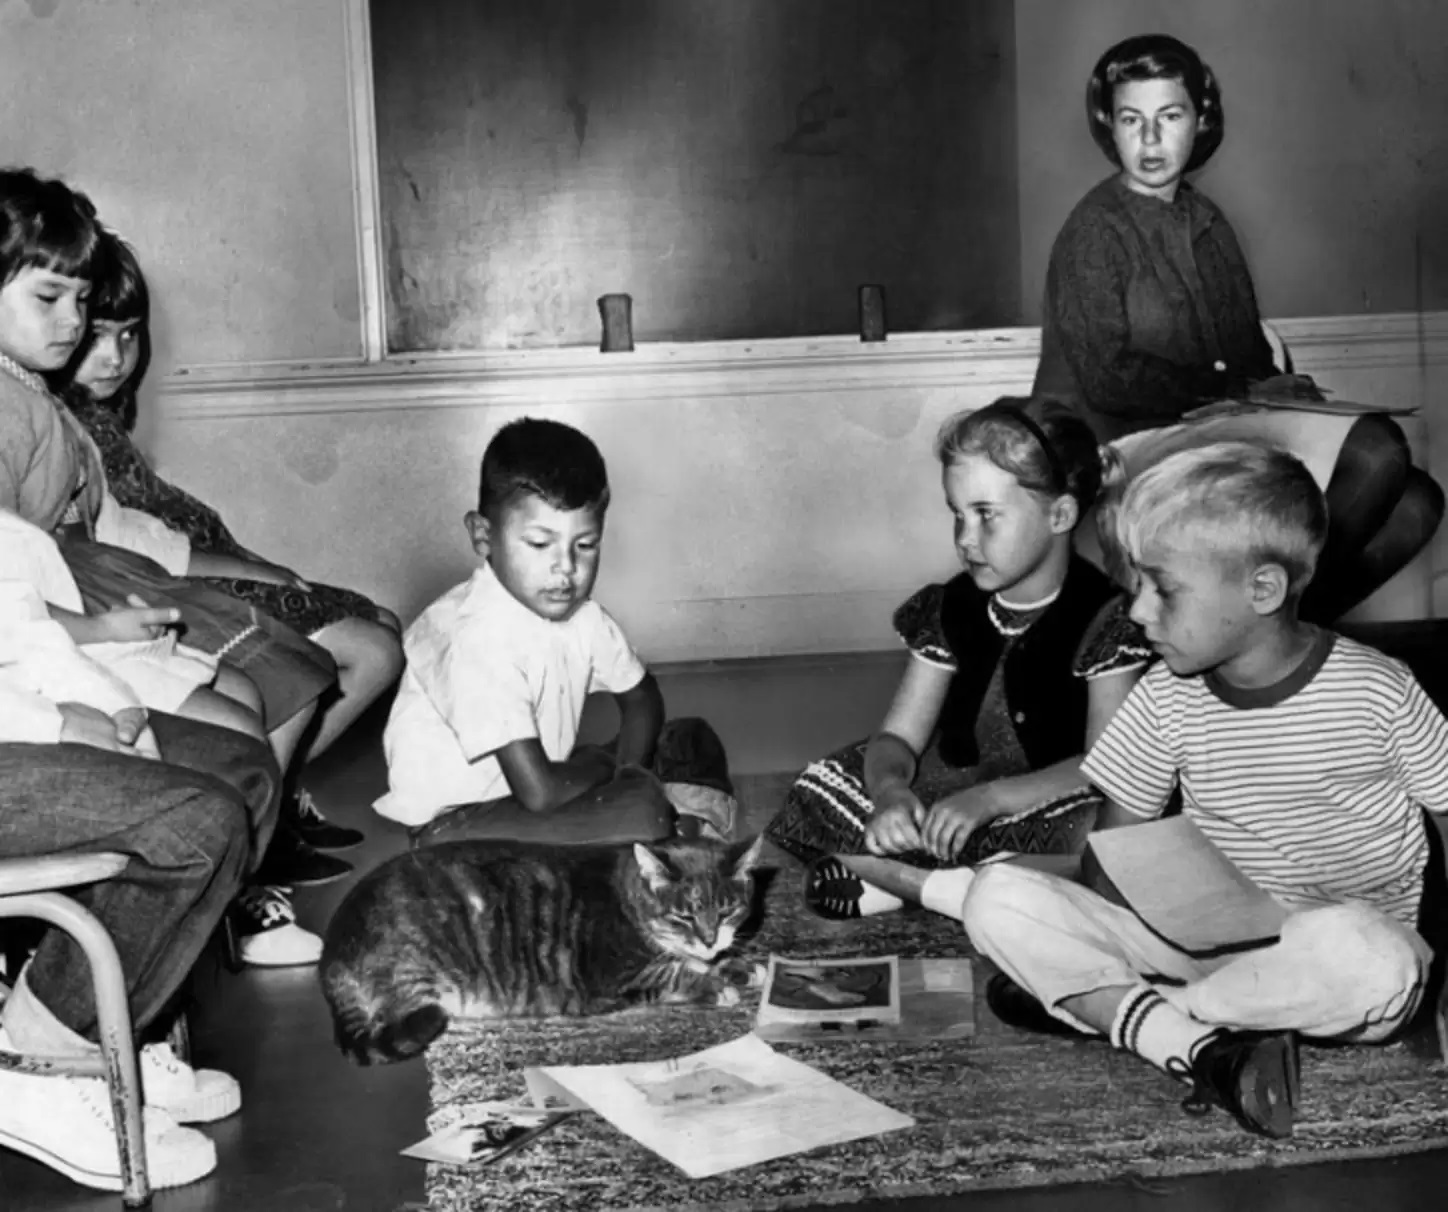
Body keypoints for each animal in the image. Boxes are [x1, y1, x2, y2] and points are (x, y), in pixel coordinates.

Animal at [320, 839, 770, 1065]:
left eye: (728, 910)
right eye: (682, 916)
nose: (710, 938)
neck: (629, 899)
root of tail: (331, 958)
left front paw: (742, 966)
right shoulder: (611, 976)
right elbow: (673, 973)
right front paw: (716, 982)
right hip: (418, 973)